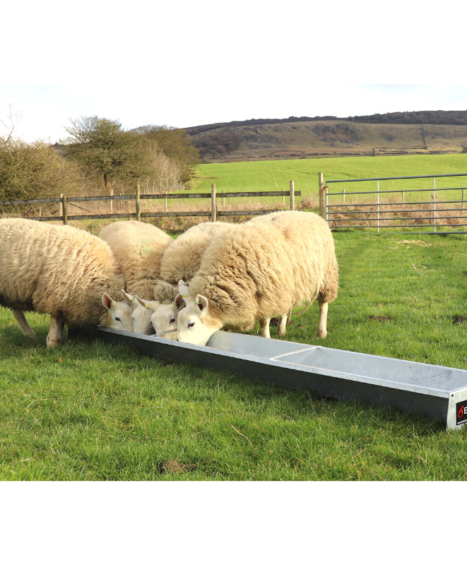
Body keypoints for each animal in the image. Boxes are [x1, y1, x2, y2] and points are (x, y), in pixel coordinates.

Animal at [0, 218, 135, 346]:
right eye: (117, 318)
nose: (130, 337)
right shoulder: (55, 294)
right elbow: (56, 319)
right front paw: (52, 342)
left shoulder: (65, 300)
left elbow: (60, 320)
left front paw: (59, 340)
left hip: (13, 289)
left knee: (17, 312)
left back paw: (30, 335)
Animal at [177, 210, 338, 346]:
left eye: (191, 324)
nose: (179, 342)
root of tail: (311, 214)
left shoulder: (266, 295)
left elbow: (264, 322)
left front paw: (265, 339)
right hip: (284, 284)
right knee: (285, 307)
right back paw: (281, 329)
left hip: (327, 276)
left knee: (323, 305)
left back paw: (321, 332)